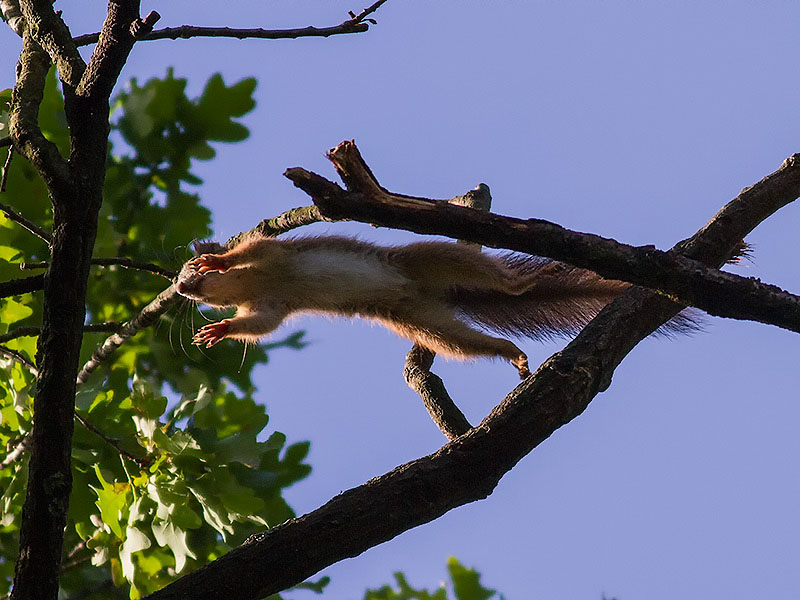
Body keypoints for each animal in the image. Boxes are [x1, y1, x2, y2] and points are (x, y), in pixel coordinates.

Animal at [175, 233, 648, 378]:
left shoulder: (274, 257)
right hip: (427, 324)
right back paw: (510, 352)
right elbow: (261, 326)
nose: (181, 289)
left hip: (428, 258)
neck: (249, 285)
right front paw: (218, 331)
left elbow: (254, 249)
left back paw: (521, 283)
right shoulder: (272, 304)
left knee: (494, 278)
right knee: (468, 343)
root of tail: (441, 294)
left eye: (185, 269)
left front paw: (216, 260)